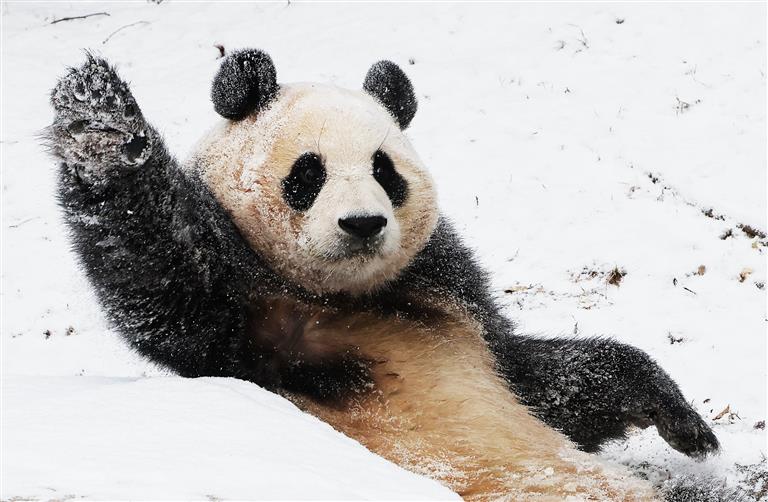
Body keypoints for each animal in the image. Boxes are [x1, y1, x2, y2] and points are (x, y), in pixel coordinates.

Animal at [48, 49, 728, 500]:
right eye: (308, 172)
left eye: (385, 170)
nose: (362, 224)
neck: (343, 296)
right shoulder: (246, 330)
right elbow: (166, 284)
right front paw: (99, 120)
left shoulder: (451, 301)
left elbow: (545, 381)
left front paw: (685, 423)